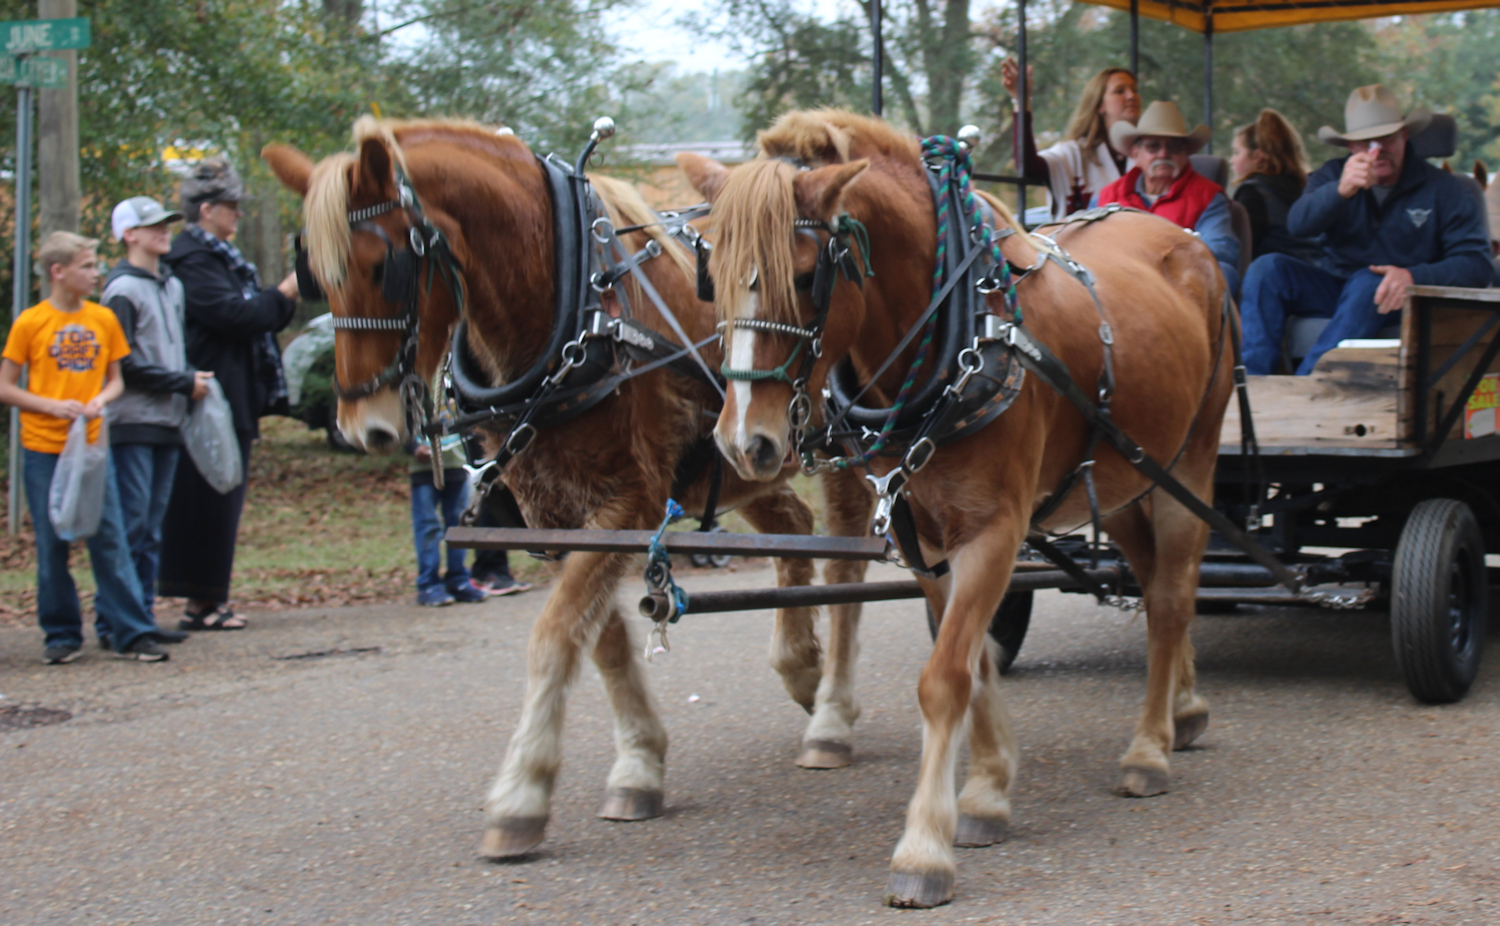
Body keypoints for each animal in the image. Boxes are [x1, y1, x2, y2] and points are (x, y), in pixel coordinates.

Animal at [261, 117, 874, 860]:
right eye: (314, 277)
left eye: (388, 266)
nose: (362, 425)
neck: (573, 311)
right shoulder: (554, 514)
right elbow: (599, 639)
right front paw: (639, 760)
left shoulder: (628, 503)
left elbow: (555, 634)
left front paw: (521, 792)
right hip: (744, 458)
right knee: (793, 527)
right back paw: (801, 667)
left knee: (848, 559)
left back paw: (833, 710)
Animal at [678, 108, 1233, 907]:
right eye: (712, 278)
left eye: (808, 275)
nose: (745, 442)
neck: (966, 332)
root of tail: (1183, 239)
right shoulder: (925, 535)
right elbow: (974, 663)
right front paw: (988, 791)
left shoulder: (995, 531)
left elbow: (944, 677)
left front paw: (924, 848)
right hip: (1126, 475)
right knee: (1160, 578)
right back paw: (1184, 708)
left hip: (1191, 461)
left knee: (1168, 600)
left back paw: (1150, 748)